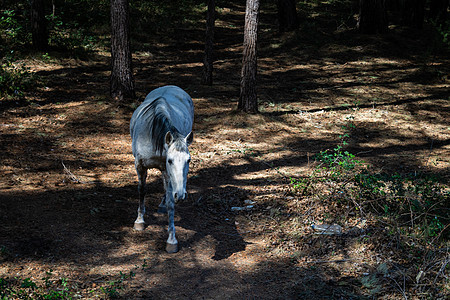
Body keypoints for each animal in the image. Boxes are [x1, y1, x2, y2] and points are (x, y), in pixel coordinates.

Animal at [129, 85, 194, 253]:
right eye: (170, 160)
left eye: (188, 160)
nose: (181, 195)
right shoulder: (140, 166)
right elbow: (142, 191)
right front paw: (139, 221)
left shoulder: (165, 170)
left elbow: (171, 202)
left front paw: (171, 240)